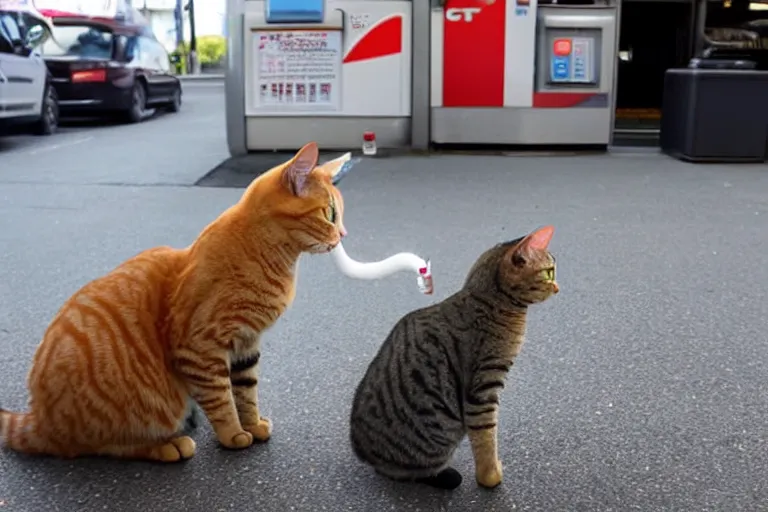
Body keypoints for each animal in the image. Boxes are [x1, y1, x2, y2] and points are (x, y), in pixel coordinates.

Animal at [0, 141, 348, 464]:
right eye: (330, 214)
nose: (343, 234)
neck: (270, 257)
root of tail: (38, 420)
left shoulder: (246, 343)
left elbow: (246, 390)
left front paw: (251, 423)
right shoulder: (200, 348)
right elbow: (221, 398)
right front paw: (233, 434)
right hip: (122, 420)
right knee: (99, 446)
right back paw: (168, 445)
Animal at [348, 227, 560, 488]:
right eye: (549, 272)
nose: (558, 287)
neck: (489, 300)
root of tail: (362, 453)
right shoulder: (482, 390)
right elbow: (486, 439)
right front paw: (491, 477)